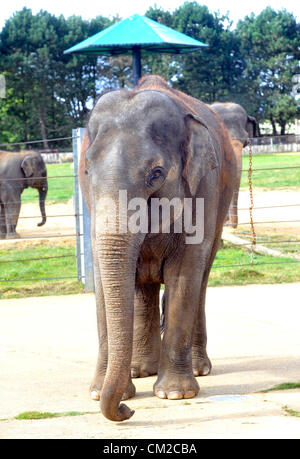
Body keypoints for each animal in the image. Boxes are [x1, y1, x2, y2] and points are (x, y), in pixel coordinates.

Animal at [79, 75, 237, 424]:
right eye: (86, 172)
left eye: (156, 174)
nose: (127, 411)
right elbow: (102, 281)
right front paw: (99, 392)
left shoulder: (204, 189)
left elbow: (185, 273)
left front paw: (175, 394)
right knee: (144, 289)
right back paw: (140, 370)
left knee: (201, 280)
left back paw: (197, 369)